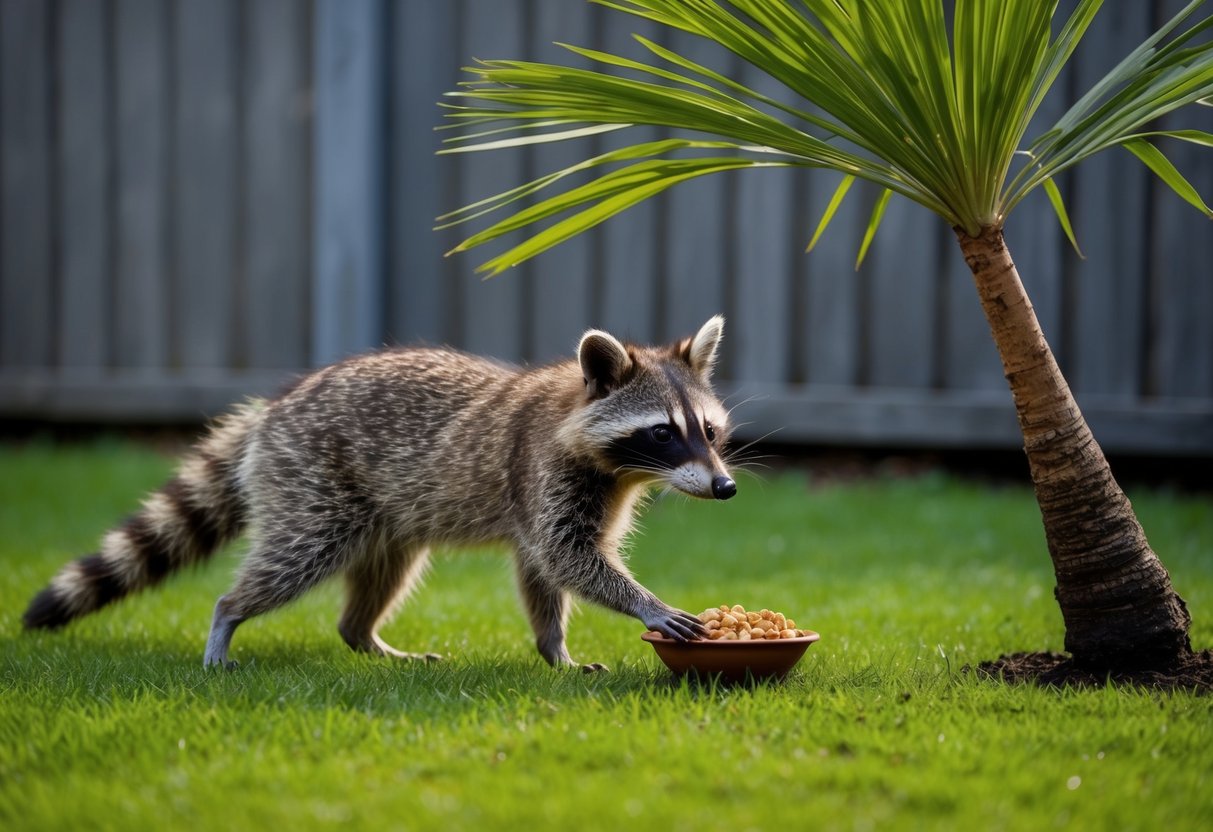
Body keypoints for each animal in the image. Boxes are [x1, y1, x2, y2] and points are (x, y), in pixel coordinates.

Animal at [24, 317, 736, 670]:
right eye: (663, 433)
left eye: (707, 430)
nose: (725, 487)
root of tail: (271, 412)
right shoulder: (542, 473)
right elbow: (568, 557)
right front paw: (644, 604)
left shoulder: (582, 492)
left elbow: (544, 572)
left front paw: (553, 648)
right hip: (311, 484)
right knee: (292, 559)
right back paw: (228, 618)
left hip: (388, 516)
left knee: (384, 574)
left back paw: (363, 635)